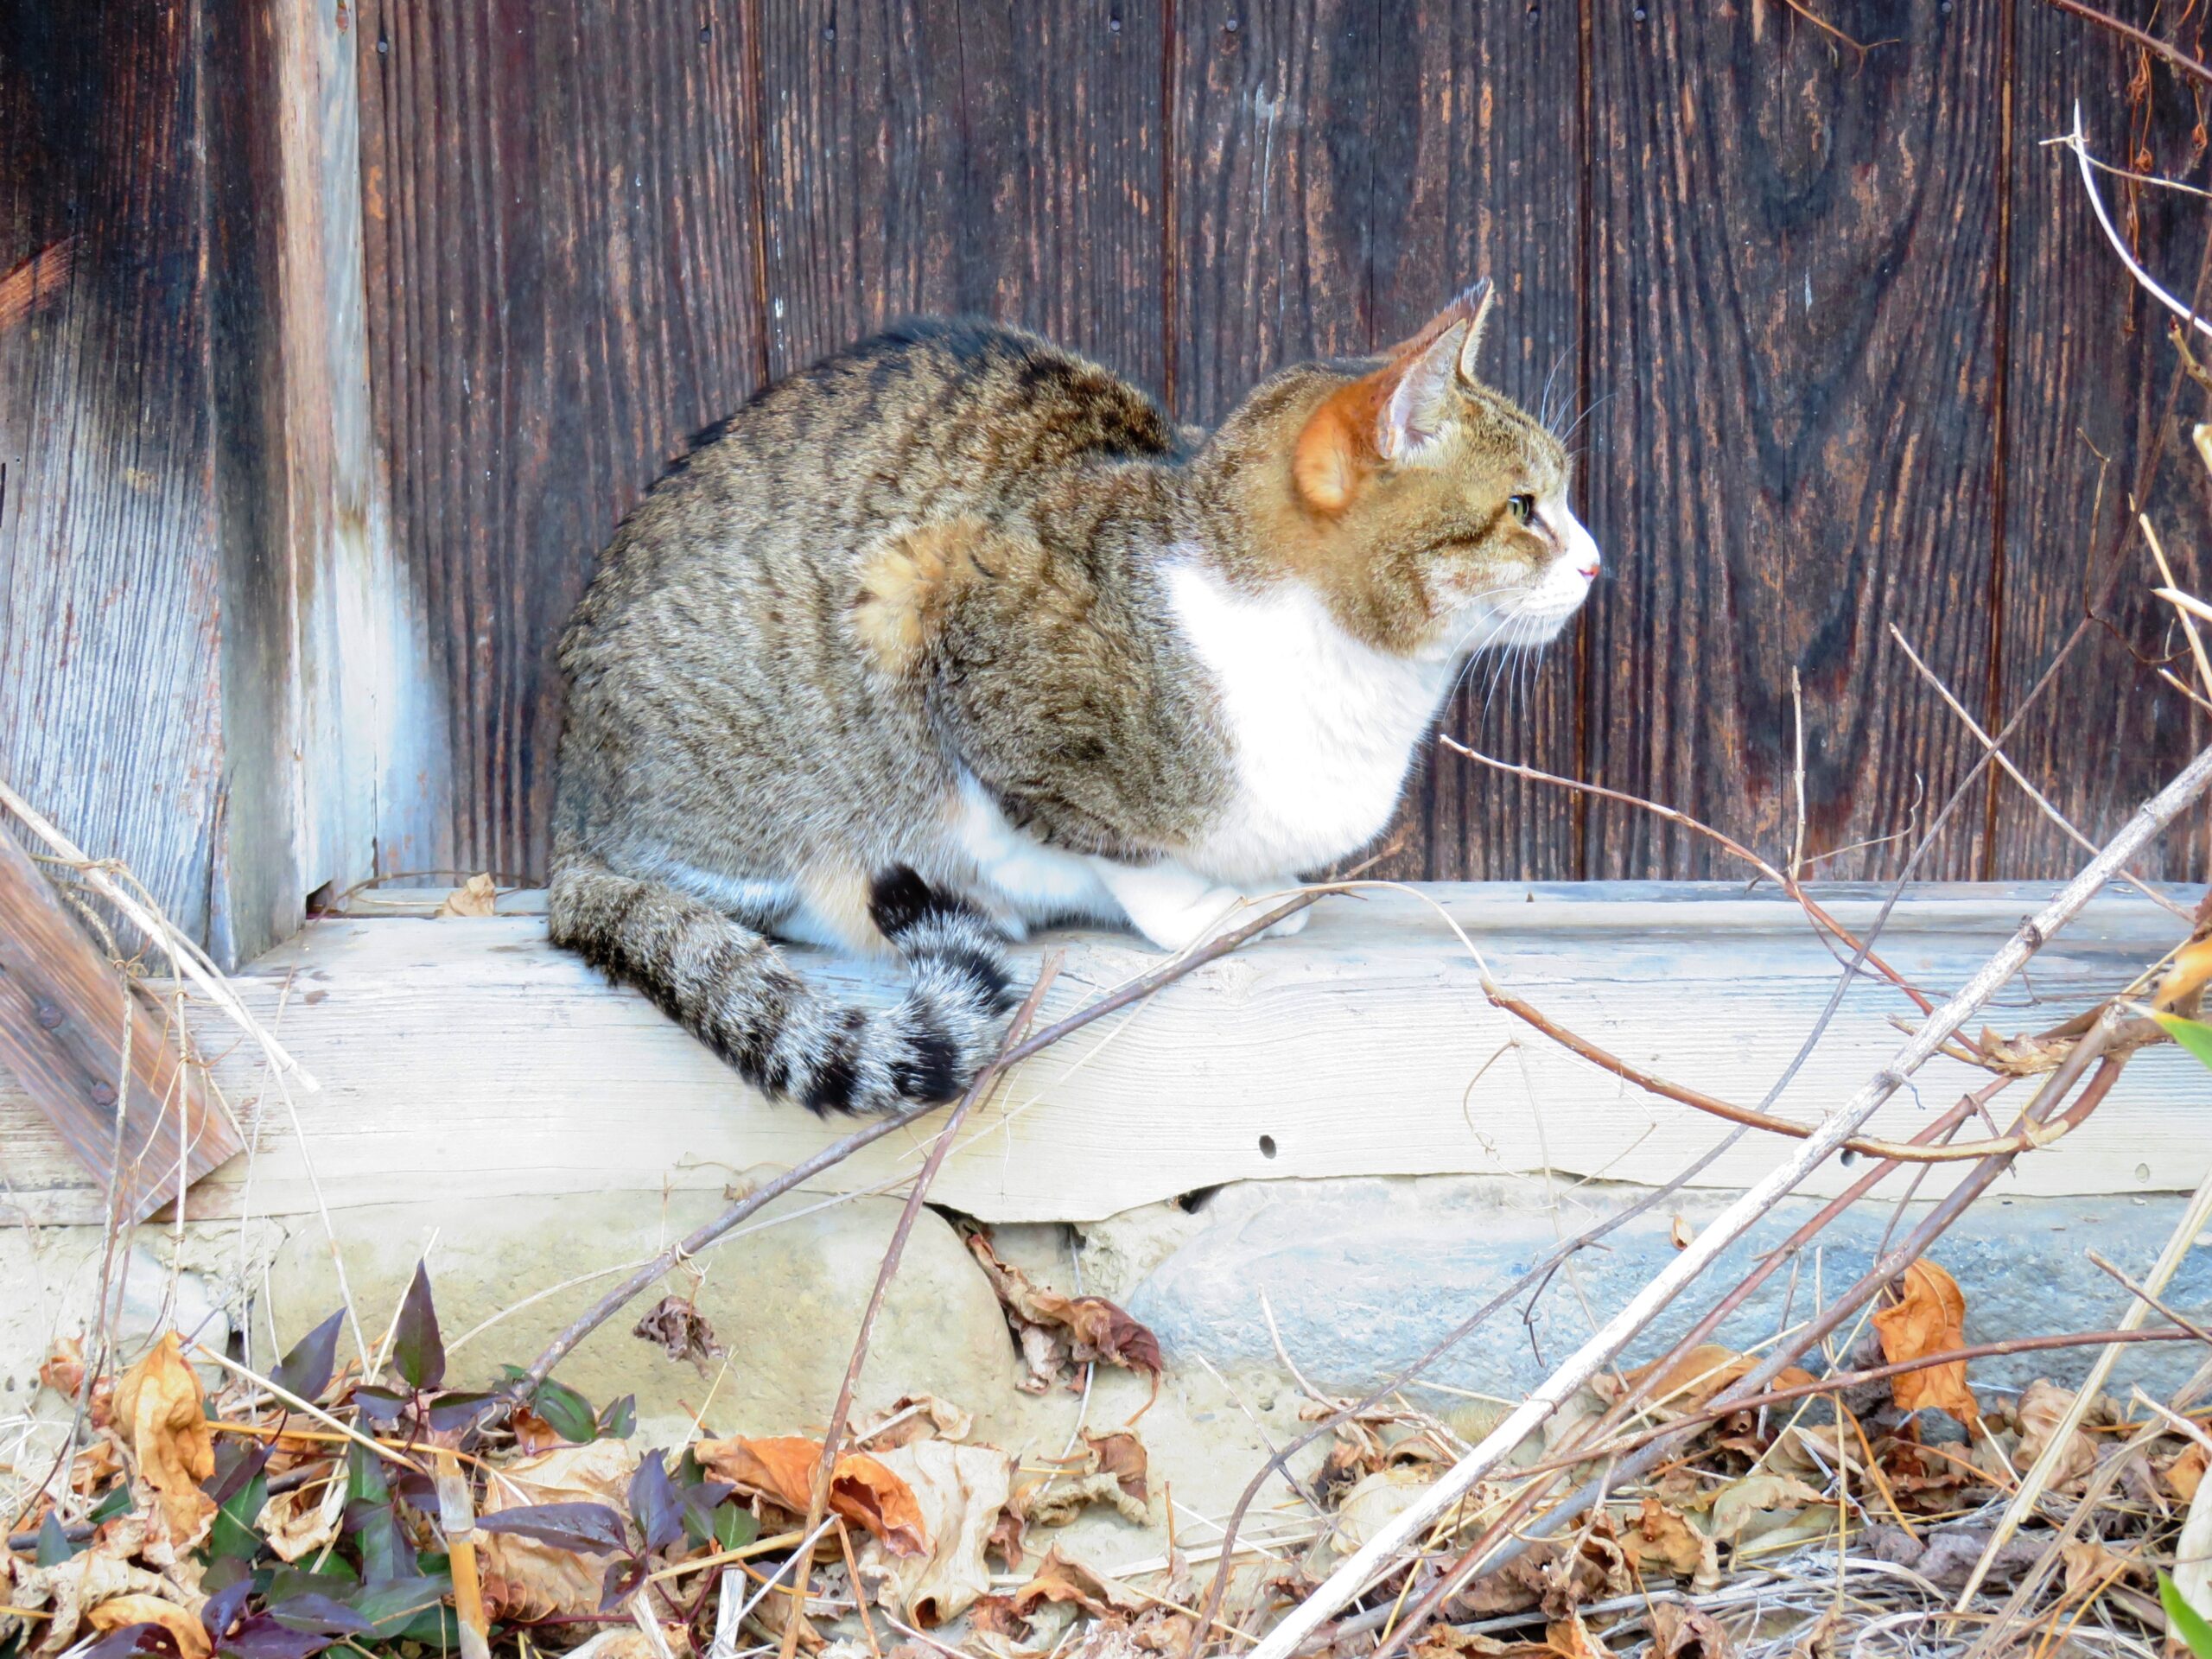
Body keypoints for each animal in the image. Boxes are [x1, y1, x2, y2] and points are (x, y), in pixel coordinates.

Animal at [548, 285, 1592, 1119]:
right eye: (1522, 508)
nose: (1595, 561)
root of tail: (568, 808)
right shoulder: (942, 605)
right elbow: (1110, 843)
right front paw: (1200, 909)